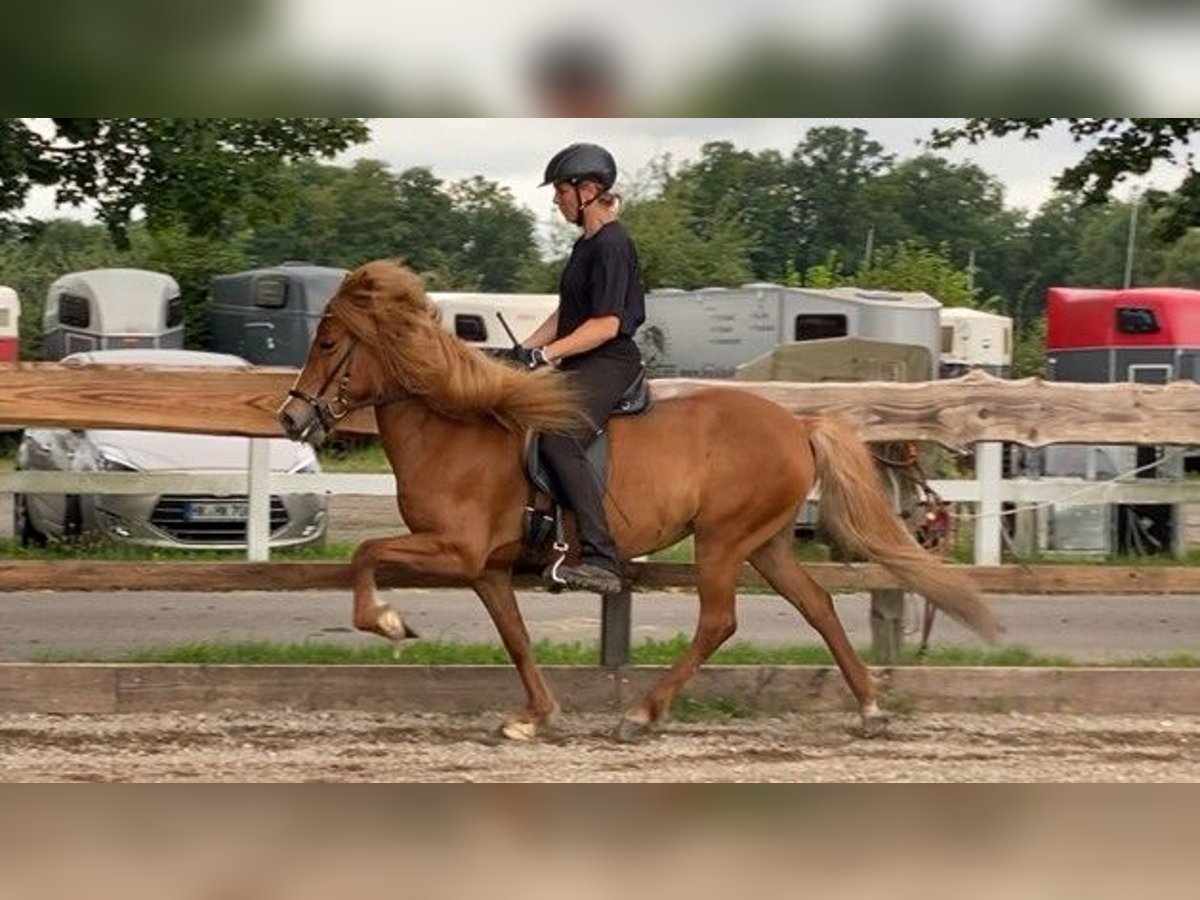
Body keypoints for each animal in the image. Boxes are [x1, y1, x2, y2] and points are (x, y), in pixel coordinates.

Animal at [276, 259, 998, 739]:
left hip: (722, 541)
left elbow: (366, 553)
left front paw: (388, 621)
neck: (456, 428)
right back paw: (870, 705)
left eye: (330, 342)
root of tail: (798, 424)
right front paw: (533, 715)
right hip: (764, 543)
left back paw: (644, 711)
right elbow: (515, 638)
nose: (290, 418)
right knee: (816, 605)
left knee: (718, 622)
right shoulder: (486, 569)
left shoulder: (457, 549)